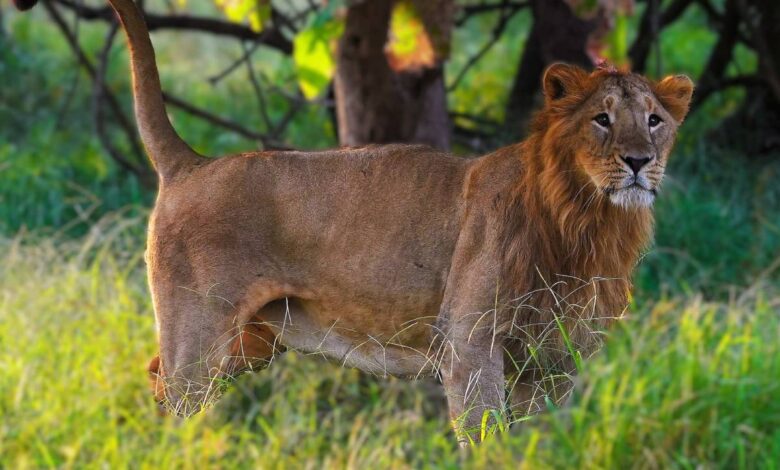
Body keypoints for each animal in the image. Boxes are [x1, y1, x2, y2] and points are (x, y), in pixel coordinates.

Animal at [27, 0, 694, 444]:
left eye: (654, 120)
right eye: (602, 120)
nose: (639, 161)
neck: (588, 223)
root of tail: (192, 163)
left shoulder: (558, 360)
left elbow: (536, 443)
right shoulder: (470, 342)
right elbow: (486, 440)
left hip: (249, 345)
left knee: (159, 383)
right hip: (199, 333)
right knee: (173, 400)